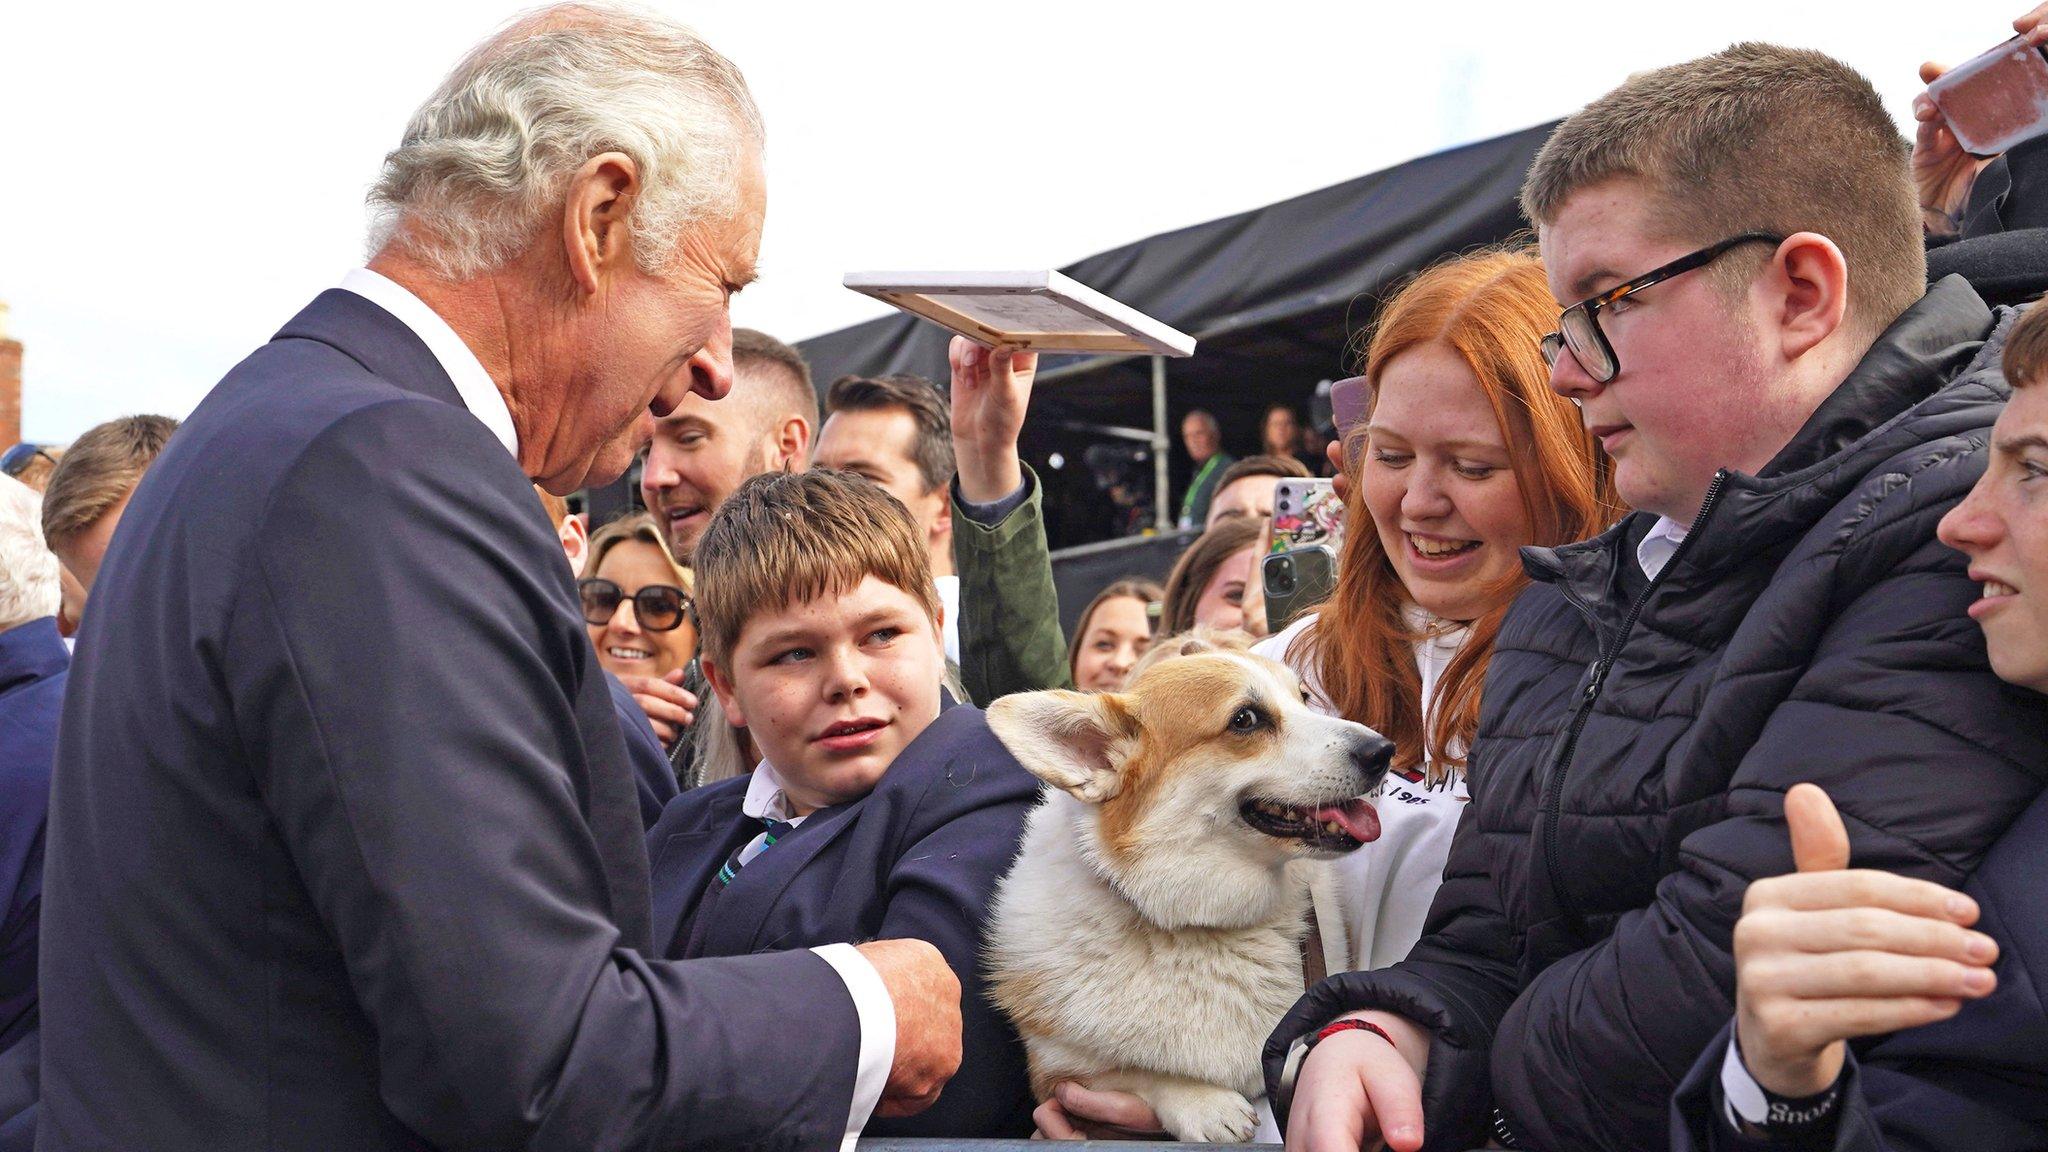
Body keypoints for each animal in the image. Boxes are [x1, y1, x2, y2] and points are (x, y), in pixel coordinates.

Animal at [978, 647, 1392, 1139]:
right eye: (1245, 719)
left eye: (1304, 697)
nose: (1382, 751)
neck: (1198, 922)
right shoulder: (1056, 1076)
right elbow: (1134, 1073)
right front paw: (1205, 1103)